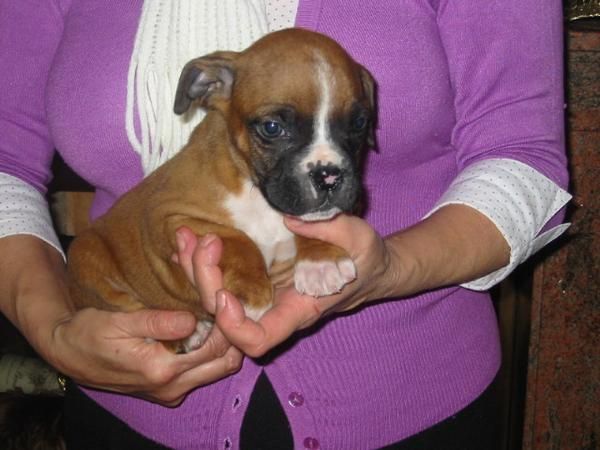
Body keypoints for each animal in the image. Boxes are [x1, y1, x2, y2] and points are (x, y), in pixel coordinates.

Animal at [65, 28, 376, 354]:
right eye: (272, 128)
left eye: (359, 123)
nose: (329, 175)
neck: (254, 188)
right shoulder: (169, 217)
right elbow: (237, 239)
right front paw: (252, 290)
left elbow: (313, 222)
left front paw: (322, 260)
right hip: (87, 258)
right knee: (132, 309)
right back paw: (186, 332)